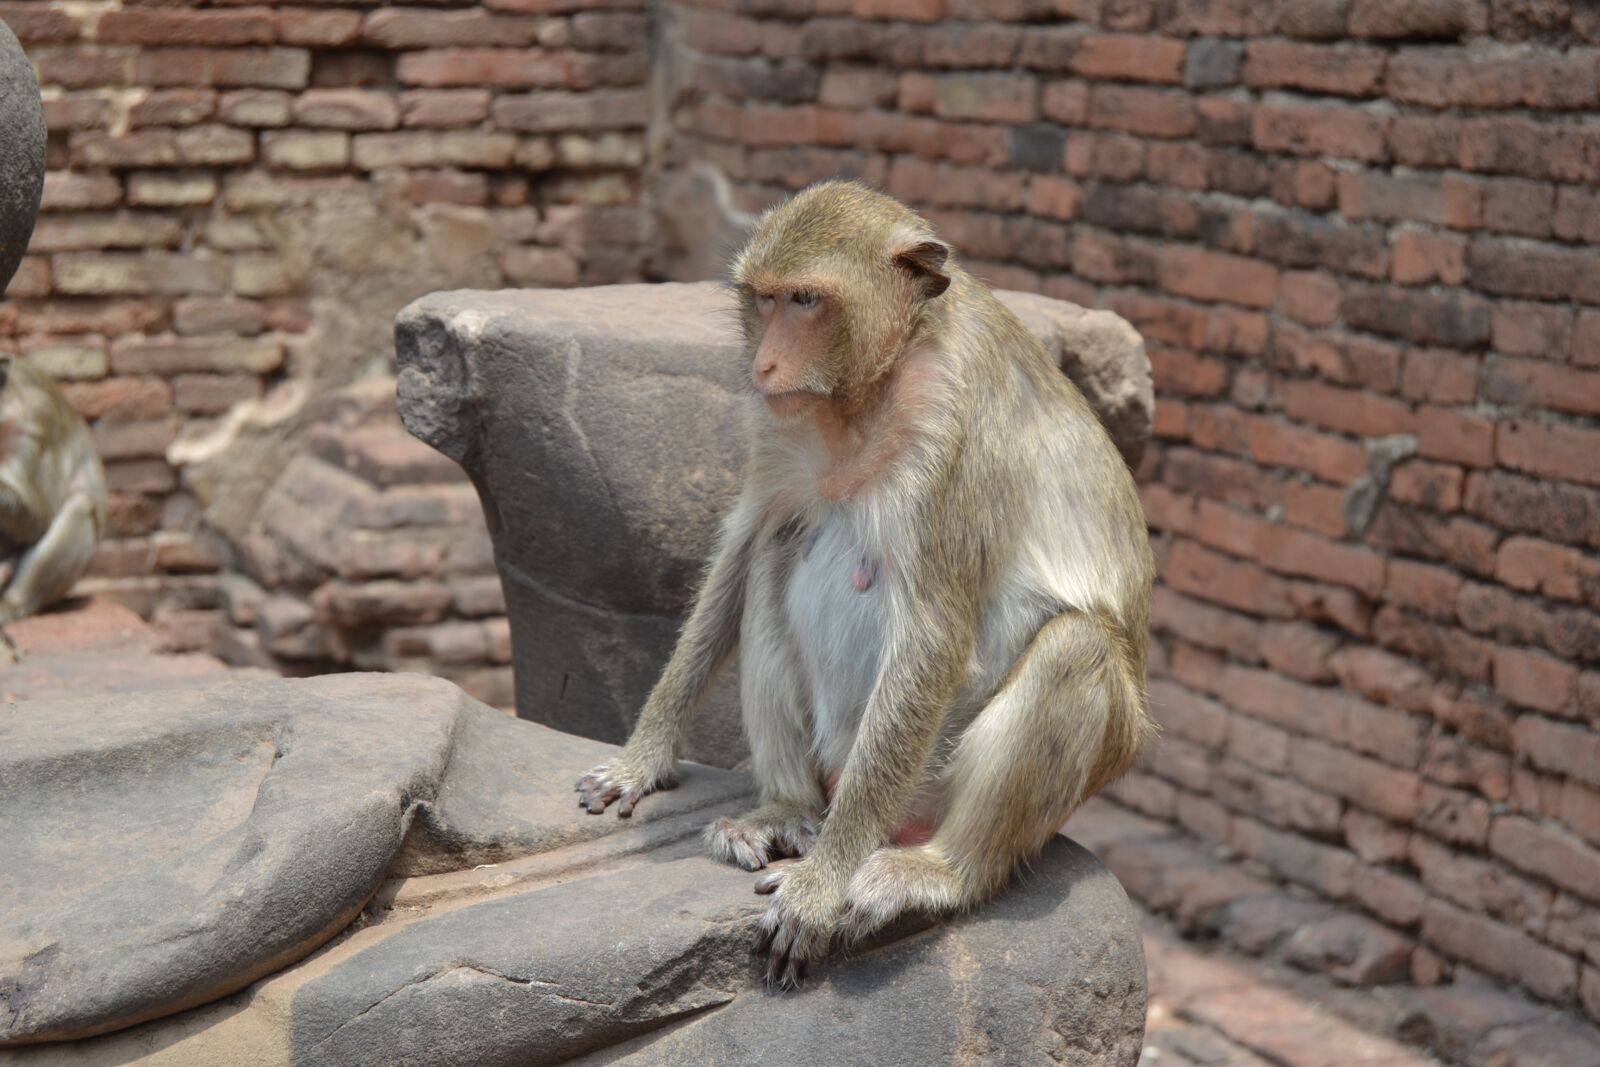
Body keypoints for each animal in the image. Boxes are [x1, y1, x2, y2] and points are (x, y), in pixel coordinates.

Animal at [576, 181, 1154, 988]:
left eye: (806, 300)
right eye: (763, 299)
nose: (764, 365)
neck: (871, 386)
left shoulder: (954, 433)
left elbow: (935, 638)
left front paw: (821, 887)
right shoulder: (778, 428)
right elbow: (741, 549)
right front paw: (641, 760)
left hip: (940, 779)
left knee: (1079, 645)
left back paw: (938, 869)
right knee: (774, 554)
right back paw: (783, 811)